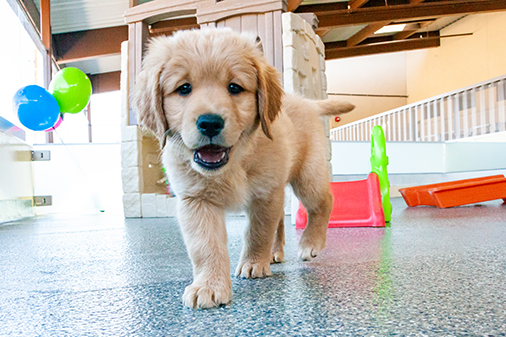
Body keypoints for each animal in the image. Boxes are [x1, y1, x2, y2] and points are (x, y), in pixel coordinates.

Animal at [132, 28, 354, 308]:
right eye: (184, 88)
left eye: (234, 88)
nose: (210, 122)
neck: (233, 162)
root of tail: (305, 101)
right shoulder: (196, 200)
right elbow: (205, 246)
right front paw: (209, 285)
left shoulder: (265, 193)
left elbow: (258, 232)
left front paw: (253, 263)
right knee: (281, 220)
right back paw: (275, 252)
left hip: (307, 175)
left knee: (323, 202)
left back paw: (310, 243)